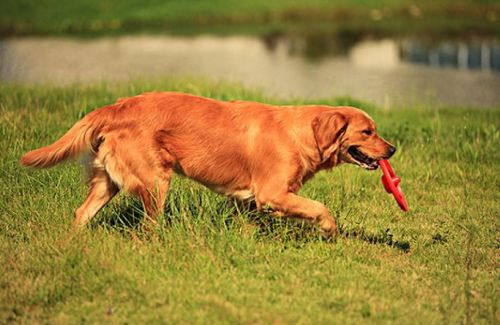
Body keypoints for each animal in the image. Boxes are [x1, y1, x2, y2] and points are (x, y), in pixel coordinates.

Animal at [19, 91, 396, 235]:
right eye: (368, 132)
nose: (392, 150)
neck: (301, 132)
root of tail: (116, 106)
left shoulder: (247, 200)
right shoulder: (272, 193)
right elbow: (321, 207)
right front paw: (330, 231)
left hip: (107, 181)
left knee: (81, 213)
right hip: (156, 182)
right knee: (148, 226)